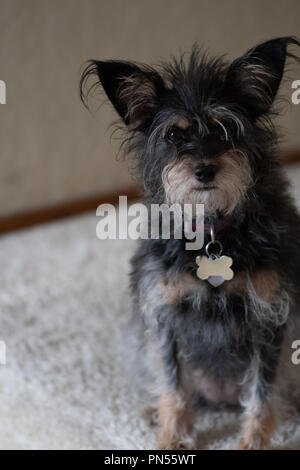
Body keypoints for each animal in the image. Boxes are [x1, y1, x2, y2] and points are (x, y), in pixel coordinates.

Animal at [79, 38, 300, 450]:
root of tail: (221, 399)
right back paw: (154, 412)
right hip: (138, 342)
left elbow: (261, 394)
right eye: (173, 136)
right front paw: (173, 437)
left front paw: (253, 442)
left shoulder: (270, 319)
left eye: (225, 129)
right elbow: (173, 385)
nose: (204, 169)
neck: (213, 234)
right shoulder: (166, 319)